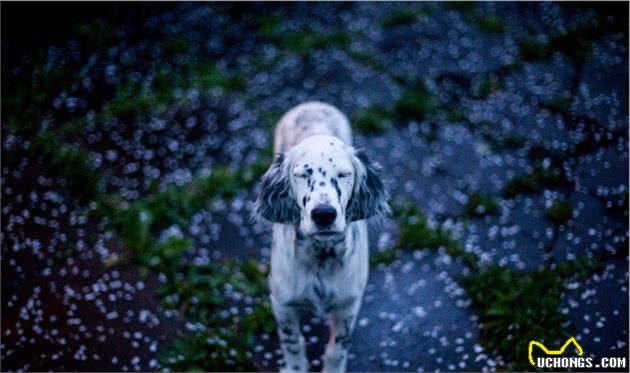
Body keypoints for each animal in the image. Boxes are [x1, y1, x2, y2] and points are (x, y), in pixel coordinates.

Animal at [256, 101, 390, 372]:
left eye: (343, 174)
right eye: (302, 175)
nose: (324, 214)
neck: (321, 254)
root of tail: (311, 104)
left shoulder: (348, 304)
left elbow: (337, 348)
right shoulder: (282, 303)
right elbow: (292, 342)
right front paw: (295, 368)